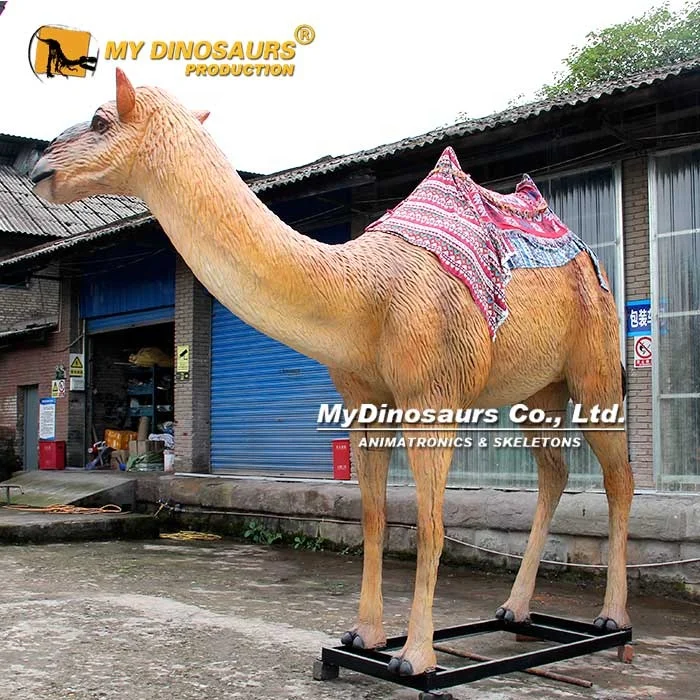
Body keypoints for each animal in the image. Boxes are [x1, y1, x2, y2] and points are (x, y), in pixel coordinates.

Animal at [30, 69, 633, 677]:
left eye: (100, 119)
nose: (42, 167)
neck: (367, 294)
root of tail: (591, 261)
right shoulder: (365, 402)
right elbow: (373, 516)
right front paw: (363, 638)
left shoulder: (431, 397)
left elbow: (431, 524)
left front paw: (416, 658)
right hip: (539, 390)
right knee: (554, 473)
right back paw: (515, 611)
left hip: (596, 366)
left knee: (617, 474)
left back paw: (613, 624)